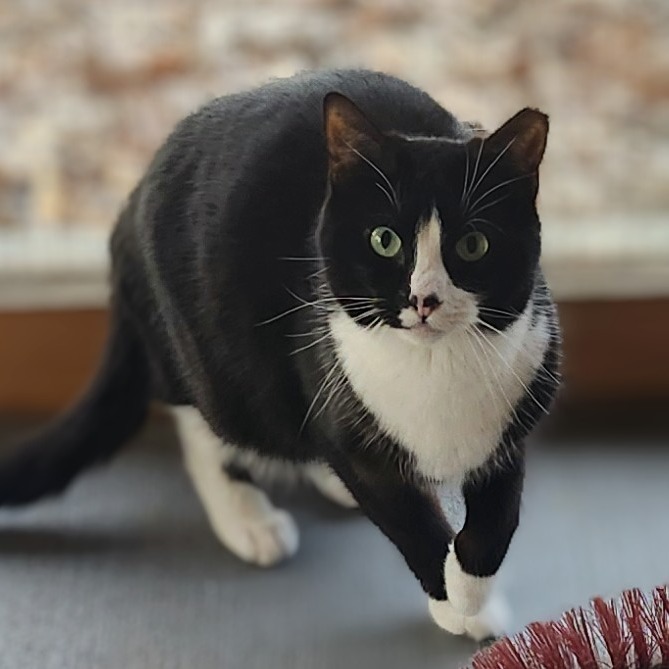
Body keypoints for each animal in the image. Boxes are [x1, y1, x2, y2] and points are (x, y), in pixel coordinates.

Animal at [0, 70, 560, 640]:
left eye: (473, 245)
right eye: (384, 240)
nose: (424, 299)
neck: (436, 368)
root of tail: (124, 217)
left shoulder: (517, 410)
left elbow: (497, 519)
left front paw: (474, 593)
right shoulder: (338, 398)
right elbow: (408, 521)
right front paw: (453, 598)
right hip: (214, 354)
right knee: (207, 422)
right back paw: (248, 517)